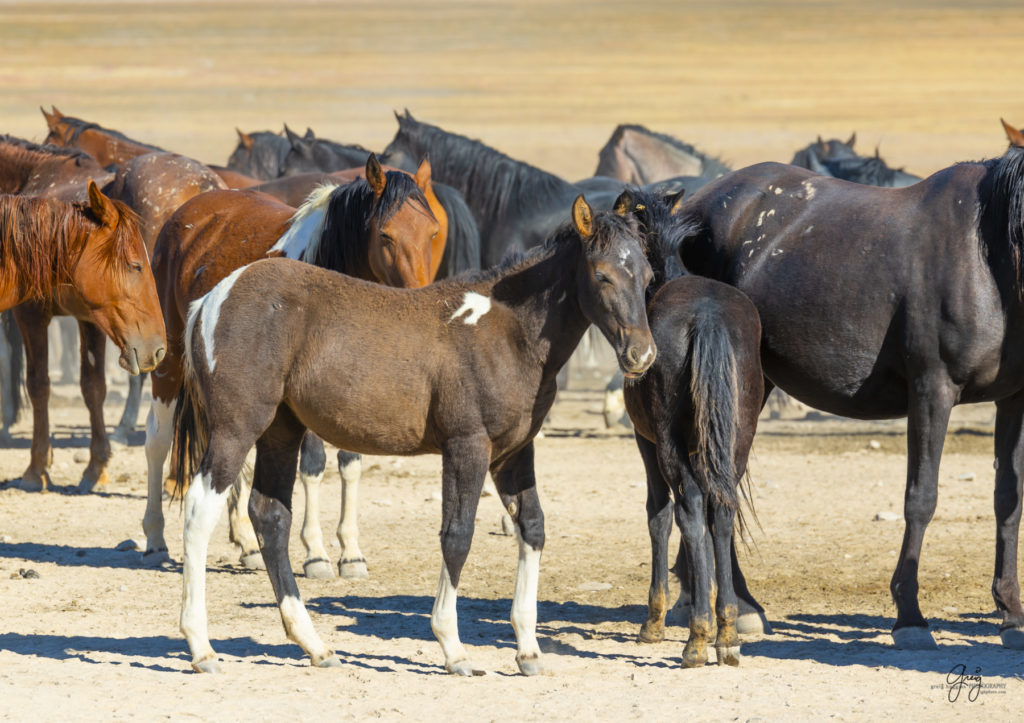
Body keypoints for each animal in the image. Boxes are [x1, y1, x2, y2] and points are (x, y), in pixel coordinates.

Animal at [142, 154, 438, 565]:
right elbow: (312, 465)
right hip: (169, 360)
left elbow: (351, 462)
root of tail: (187, 213)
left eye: (432, 233)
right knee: (158, 439)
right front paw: (316, 551)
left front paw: (350, 551)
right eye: (386, 235)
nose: (419, 297)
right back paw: (155, 536)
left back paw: (247, 541)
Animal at [174, 194, 655, 671]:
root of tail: (211, 299)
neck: (506, 333)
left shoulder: (513, 453)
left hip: (280, 431)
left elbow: (532, 527)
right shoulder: (467, 446)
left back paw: (315, 646)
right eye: (602, 274)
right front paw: (453, 647)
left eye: (648, 276)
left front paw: (529, 649)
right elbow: (457, 535)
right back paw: (201, 647)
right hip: (236, 429)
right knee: (199, 511)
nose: (642, 355)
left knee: (270, 515)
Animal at [671, 138, 1024, 651]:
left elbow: (1008, 500)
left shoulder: (1014, 398)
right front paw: (910, 616)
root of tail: (696, 204)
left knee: (719, 480)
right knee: (718, 481)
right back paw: (737, 608)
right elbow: (921, 499)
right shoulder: (931, 392)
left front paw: (1011, 614)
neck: (986, 256)